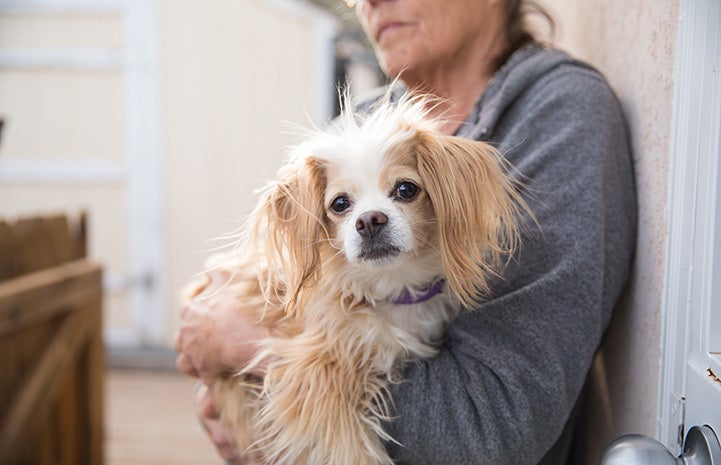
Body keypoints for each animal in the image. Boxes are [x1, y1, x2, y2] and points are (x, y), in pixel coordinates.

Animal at [186, 95, 524, 464]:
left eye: (406, 189)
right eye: (339, 203)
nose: (370, 220)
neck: (392, 288)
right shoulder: (313, 372)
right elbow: (346, 446)